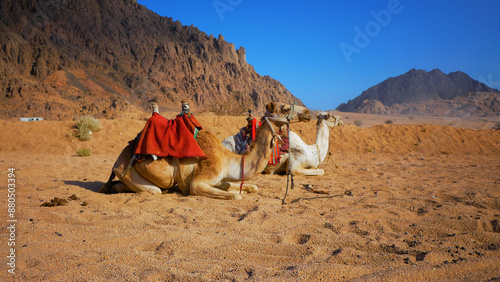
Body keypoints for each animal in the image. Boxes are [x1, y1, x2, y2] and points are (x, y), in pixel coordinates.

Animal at [98, 102, 310, 199]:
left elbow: (249, 187)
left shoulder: (222, 178)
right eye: (283, 108)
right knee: (153, 190)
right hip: (129, 171)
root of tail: (118, 160)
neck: (228, 159)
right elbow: (236, 194)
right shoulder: (199, 181)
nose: (308, 112)